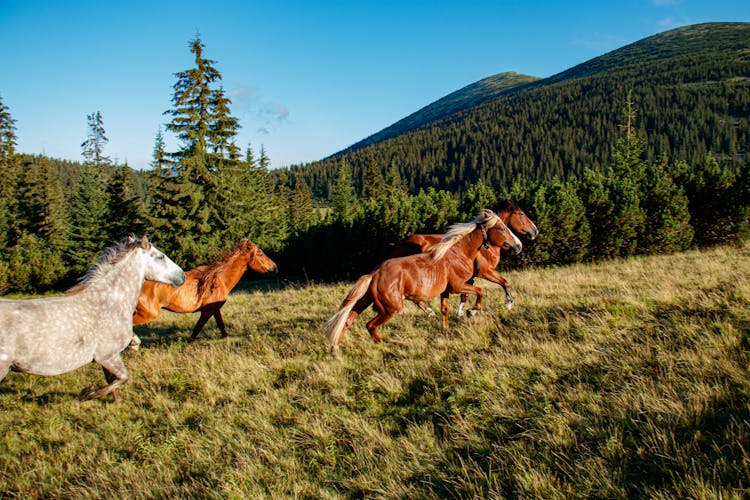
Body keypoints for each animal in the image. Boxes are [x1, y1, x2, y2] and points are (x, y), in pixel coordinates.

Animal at [0, 235, 185, 402]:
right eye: (160, 256)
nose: (182, 276)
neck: (108, 302)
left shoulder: (107, 358)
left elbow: (114, 382)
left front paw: (116, 403)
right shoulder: (108, 355)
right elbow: (122, 378)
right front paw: (87, 394)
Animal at [133, 239, 280, 342]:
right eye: (260, 253)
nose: (275, 268)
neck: (218, 280)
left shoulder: (215, 309)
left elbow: (221, 327)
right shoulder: (207, 311)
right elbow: (196, 331)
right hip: (148, 314)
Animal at [328, 209, 524, 354]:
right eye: (502, 228)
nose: (518, 246)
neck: (459, 253)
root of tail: (373, 275)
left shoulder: (447, 291)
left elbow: (445, 309)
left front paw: (445, 329)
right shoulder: (459, 286)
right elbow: (480, 292)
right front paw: (472, 311)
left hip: (365, 301)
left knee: (347, 320)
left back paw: (335, 349)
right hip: (391, 308)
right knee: (370, 325)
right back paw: (388, 344)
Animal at [388, 197, 540, 314]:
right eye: (521, 214)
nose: (535, 232)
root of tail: (398, 244)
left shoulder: (469, 277)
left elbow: (465, 295)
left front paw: (462, 312)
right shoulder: (485, 272)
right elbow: (504, 283)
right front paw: (507, 304)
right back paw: (430, 312)